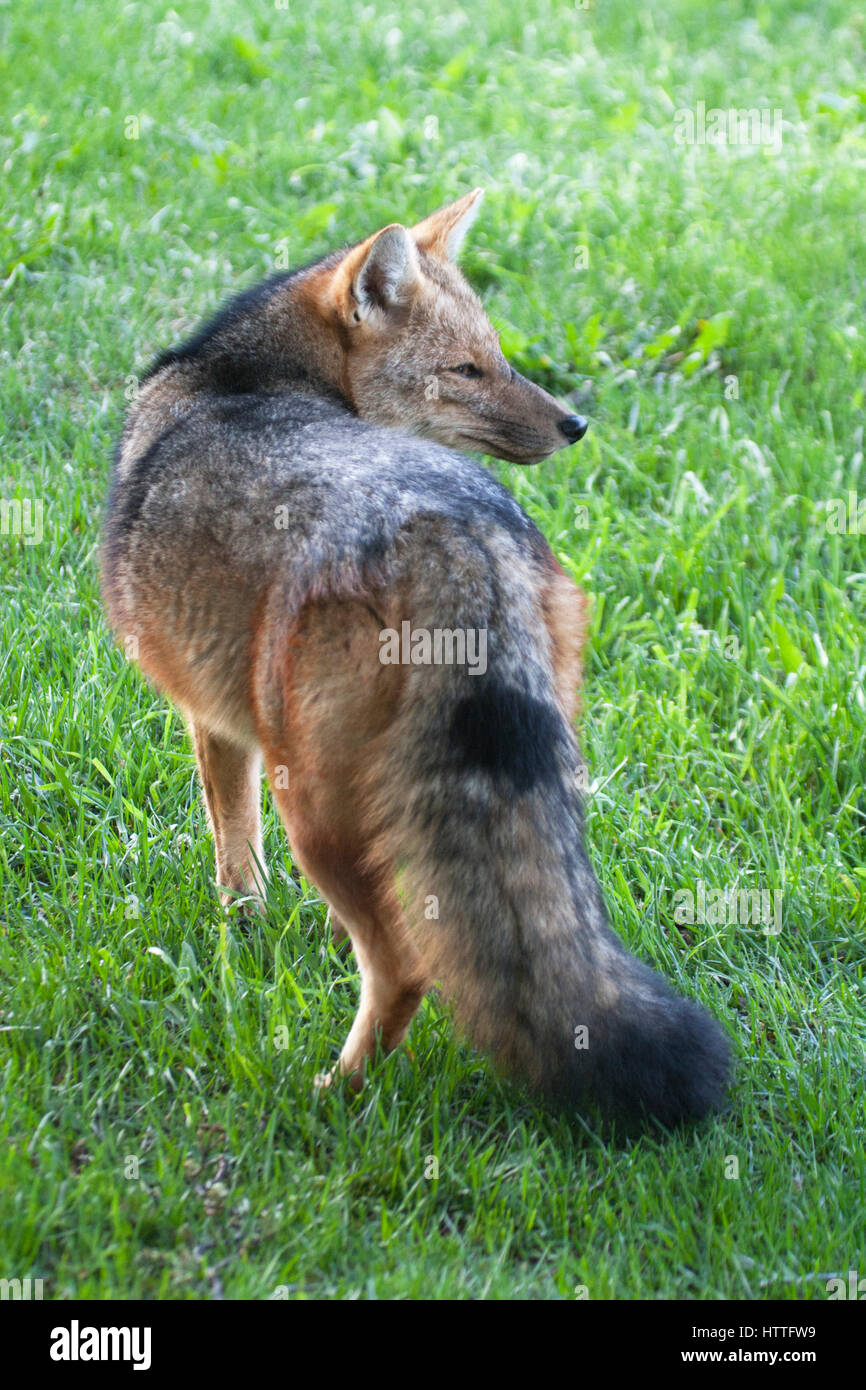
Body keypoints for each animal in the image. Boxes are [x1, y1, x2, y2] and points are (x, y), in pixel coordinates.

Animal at [101, 188, 731, 1126]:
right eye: (472, 368)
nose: (575, 424)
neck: (233, 381)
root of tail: (460, 535)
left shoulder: (215, 727)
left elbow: (234, 856)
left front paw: (242, 928)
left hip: (312, 803)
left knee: (405, 966)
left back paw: (338, 1091)